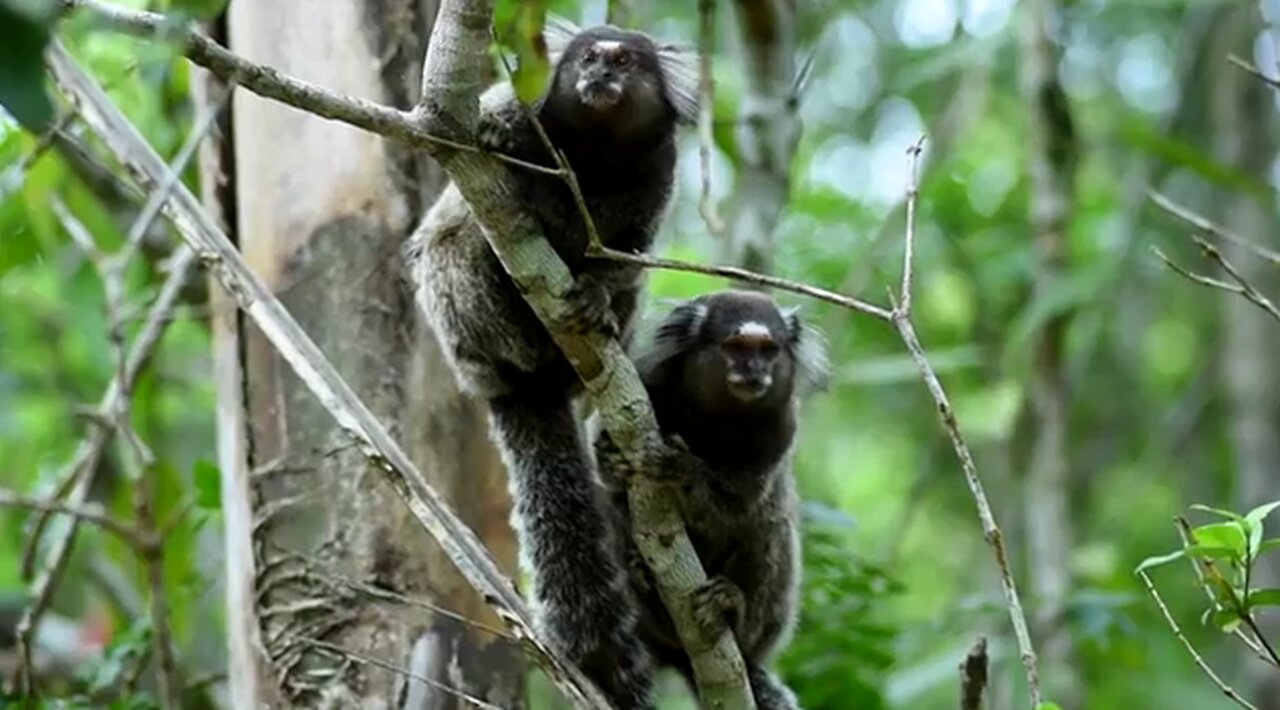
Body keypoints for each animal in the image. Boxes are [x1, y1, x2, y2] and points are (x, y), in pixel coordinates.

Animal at [401, 16, 696, 710]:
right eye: (589, 58)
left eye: (625, 62)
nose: (601, 75)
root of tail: (511, 386)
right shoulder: (522, 106)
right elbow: (485, 150)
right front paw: (493, 140)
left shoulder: (659, 171)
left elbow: (625, 256)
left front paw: (596, 293)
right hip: (464, 323)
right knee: (460, 244)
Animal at [593, 290, 834, 710]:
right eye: (735, 347)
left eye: (768, 349)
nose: (754, 369)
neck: (719, 417)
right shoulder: (646, 384)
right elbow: (608, 470)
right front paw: (609, 456)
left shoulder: (782, 428)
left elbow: (740, 507)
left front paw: (682, 468)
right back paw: (644, 579)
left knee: (770, 529)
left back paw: (732, 611)